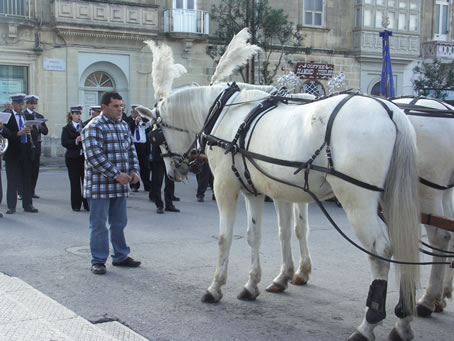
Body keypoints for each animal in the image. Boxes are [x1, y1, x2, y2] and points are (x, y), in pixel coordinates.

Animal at [139, 83, 422, 340]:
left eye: (154, 136)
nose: (174, 172)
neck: (226, 114)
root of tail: (390, 111)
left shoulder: (224, 187)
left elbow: (224, 239)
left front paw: (215, 287)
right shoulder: (254, 191)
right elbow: (258, 236)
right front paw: (254, 283)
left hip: (357, 202)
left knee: (379, 252)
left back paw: (368, 324)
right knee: (402, 247)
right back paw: (403, 320)